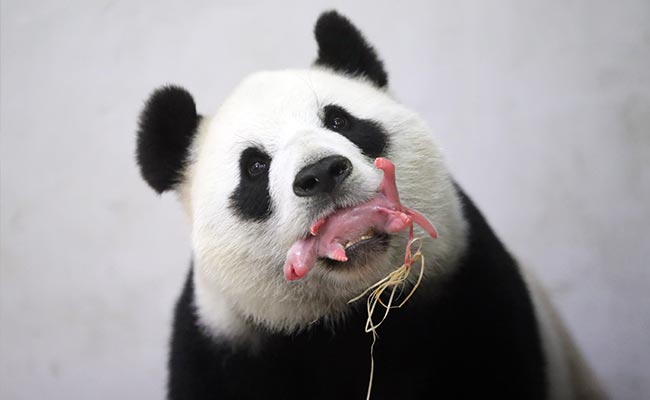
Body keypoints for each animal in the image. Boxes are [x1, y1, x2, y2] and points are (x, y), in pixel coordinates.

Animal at [136, 10, 606, 400]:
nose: (322, 173)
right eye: (254, 166)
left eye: (339, 120)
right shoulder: (224, 346)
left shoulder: (470, 288)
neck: (352, 312)